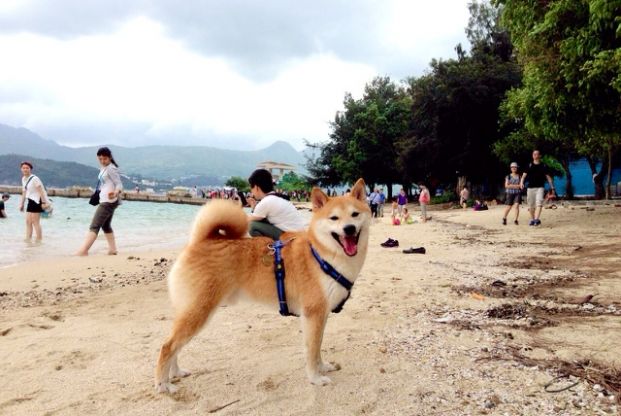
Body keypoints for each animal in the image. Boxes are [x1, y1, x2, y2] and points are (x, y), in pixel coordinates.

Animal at [155, 177, 370, 392]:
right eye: (334, 218)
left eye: (355, 214)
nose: (349, 228)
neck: (323, 254)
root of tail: (199, 241)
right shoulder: (313, 314)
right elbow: (312, 350)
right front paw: (315, 378)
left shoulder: (321, 314)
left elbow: (318, 348)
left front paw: (322, 367)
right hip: (199, 311)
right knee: (168, 346)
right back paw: (163, 384)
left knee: (174, 345)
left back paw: (176, 373)